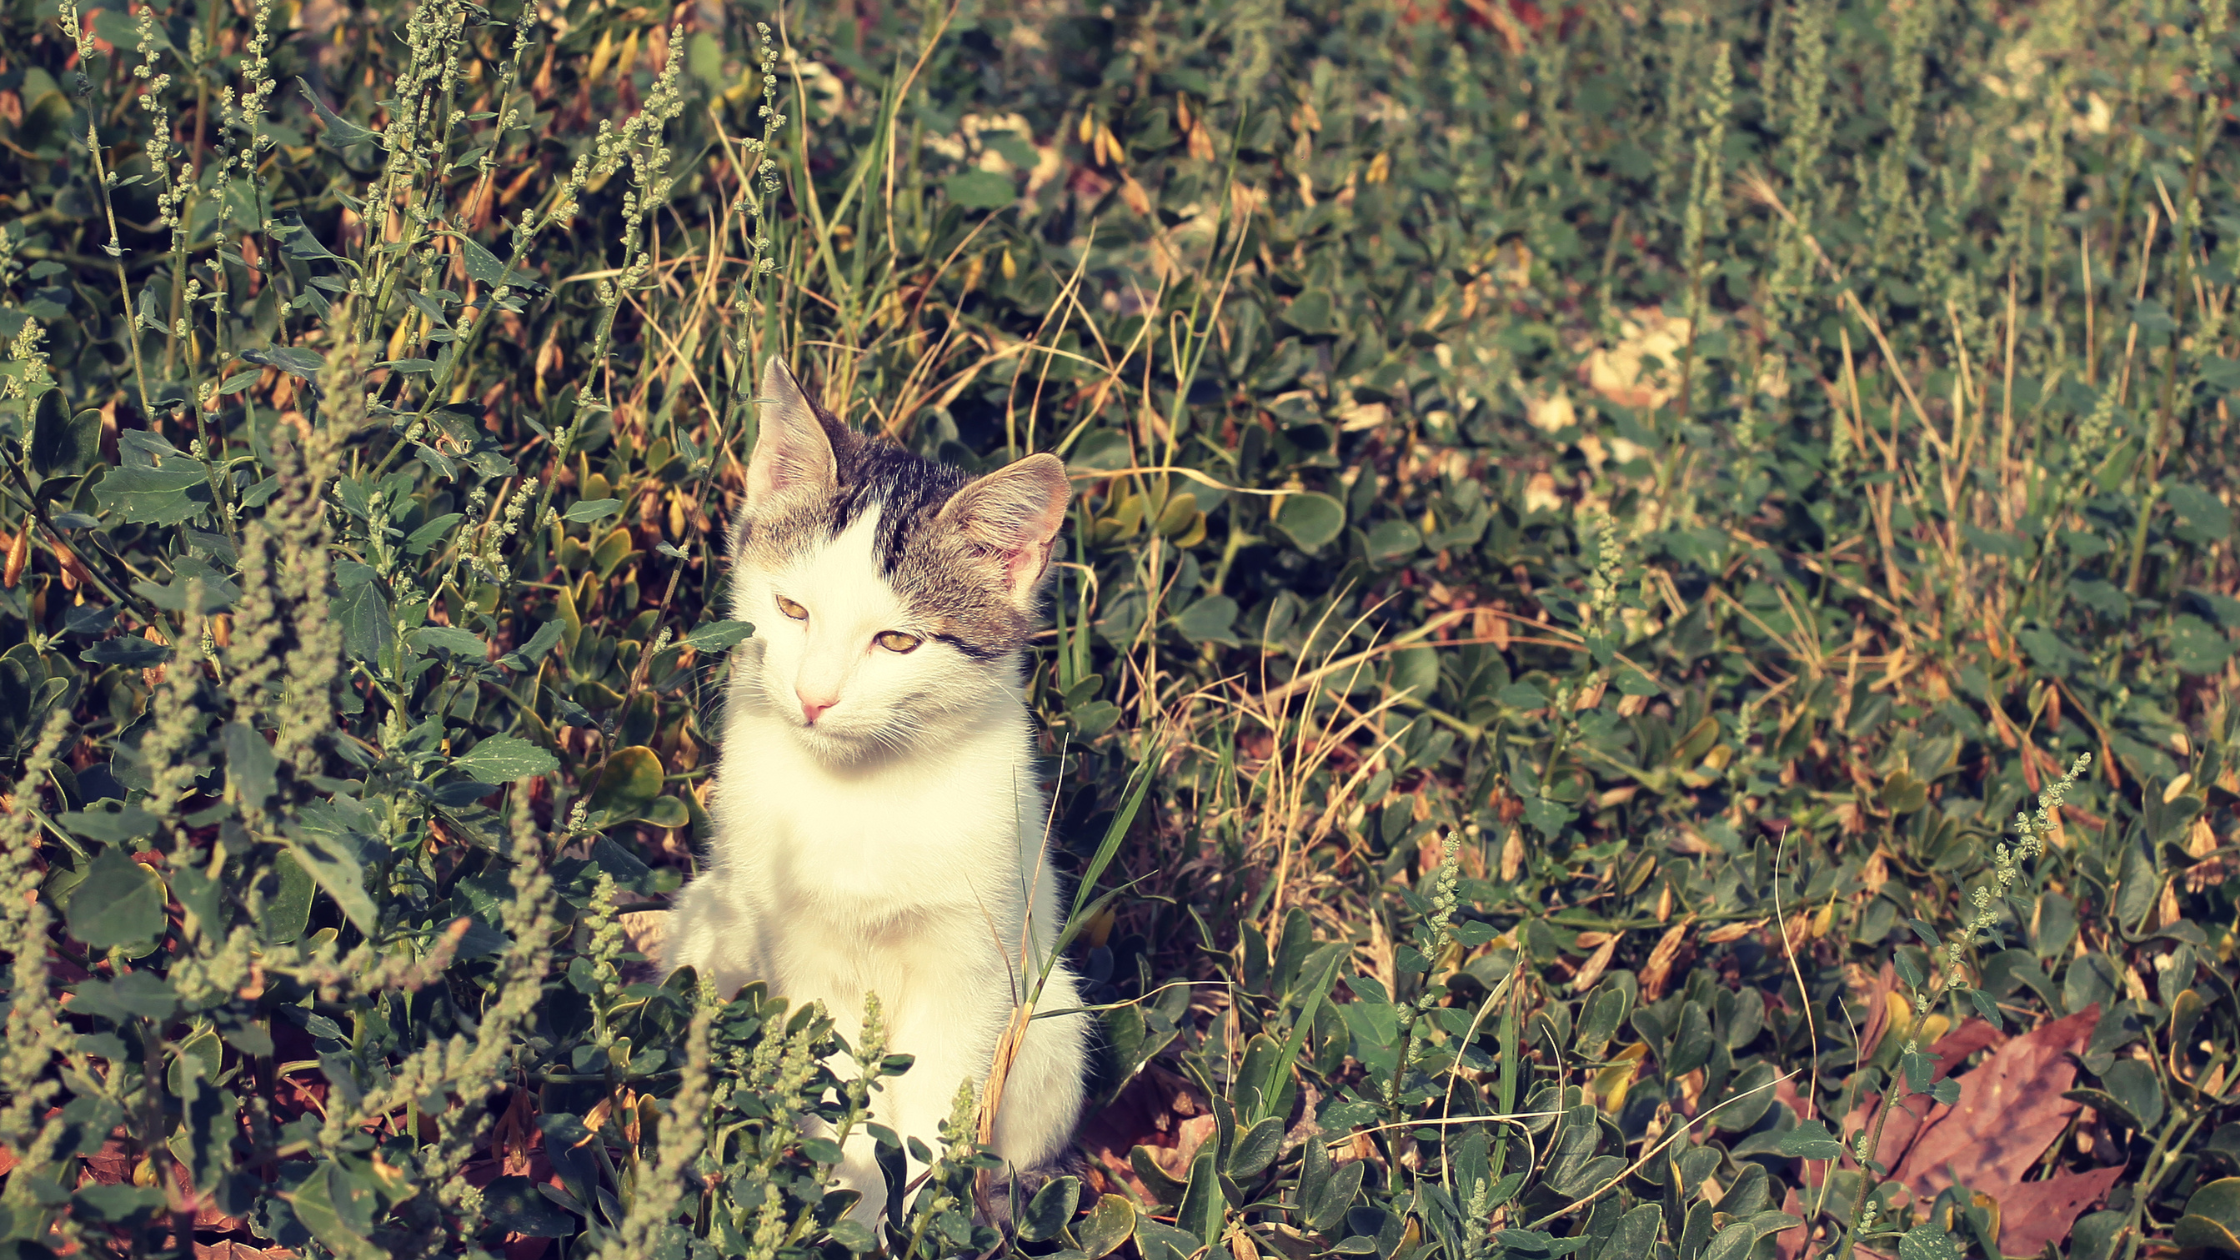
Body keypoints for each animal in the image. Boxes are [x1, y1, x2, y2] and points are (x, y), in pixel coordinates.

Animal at [658, 356, 1088, 1228]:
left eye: (897, 640)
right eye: (791, 607)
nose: (815, 696)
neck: (860, 789)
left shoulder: (977, 968)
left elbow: (935, 1108)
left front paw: (916, 1220)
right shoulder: (798, 967)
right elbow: (835, 1107)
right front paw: (847, 1214)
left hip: (1053, 1022)